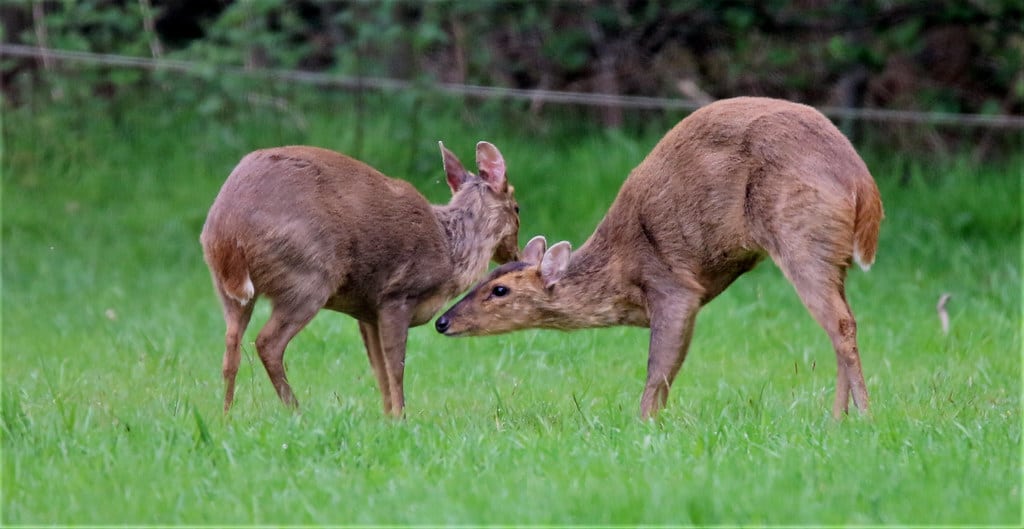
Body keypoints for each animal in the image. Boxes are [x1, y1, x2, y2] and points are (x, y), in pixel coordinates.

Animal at [200, 141, 520, 417]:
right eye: (518, 208)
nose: (515, 255)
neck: (451, 251)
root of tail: (228, 228)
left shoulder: (367, 311)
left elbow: (379, 369)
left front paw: (388, 418)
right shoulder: (397, 294)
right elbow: (396, 365)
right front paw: (402, 418)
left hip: (226, 287)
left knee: (231, 348)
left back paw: (225, 416)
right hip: (308, 275)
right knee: (267, 342)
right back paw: (297, 411)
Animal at [435, 97, 883, 420]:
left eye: (500, 289)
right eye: (486, 276)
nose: (443, 321)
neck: (618, 277)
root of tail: (863, 183)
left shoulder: (675, 288)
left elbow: (659, 369)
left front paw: (645, 424)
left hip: (800, 233)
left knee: (840, 323)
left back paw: (860, 416)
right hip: (833, 254)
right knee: (843, 323)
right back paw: (840, 416)